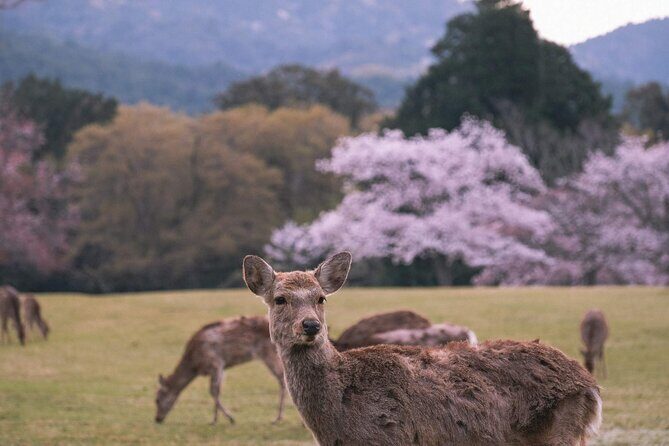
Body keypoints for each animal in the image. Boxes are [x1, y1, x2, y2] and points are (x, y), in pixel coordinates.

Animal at [155, 315, 286, 425]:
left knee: (282, 378)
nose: (157, 419)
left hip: (268, 352)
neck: (194, 365)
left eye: (157, 399)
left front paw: (227, 418)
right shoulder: (221, 368)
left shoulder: (215, 363)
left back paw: (277, 418)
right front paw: (216, 419)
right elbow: (218, 390)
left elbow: (213, 391)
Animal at [243, 252, 602, 446]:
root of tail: (590, 384)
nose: (311, 326)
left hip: (561, 429)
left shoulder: (391, 436)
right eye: (280, 299)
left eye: (321, 298)